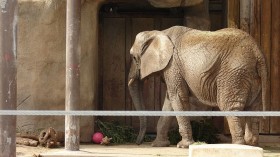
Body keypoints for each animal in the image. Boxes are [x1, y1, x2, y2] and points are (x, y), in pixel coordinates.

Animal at [128, 25, 268, 148]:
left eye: (134, 57)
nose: (138, 143)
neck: (159, 32)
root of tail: (258, 53)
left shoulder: (173, 66)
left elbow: (178, 98)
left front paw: (183, 146)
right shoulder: (172, 69)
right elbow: (169, 101)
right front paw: (158, 145)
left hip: (234, 72)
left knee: (229, 106)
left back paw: (238, 146)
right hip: (251, 75)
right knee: (253, 107)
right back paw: (252, 145)